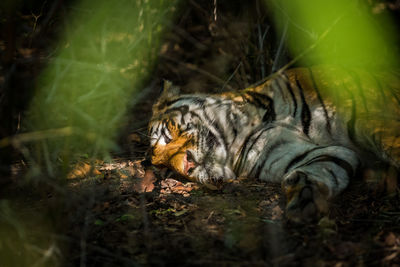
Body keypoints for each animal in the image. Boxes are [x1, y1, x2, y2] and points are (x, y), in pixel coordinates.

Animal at [148, 66, 400, 223]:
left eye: (166, 137)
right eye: (168, 170)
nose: (188, 166)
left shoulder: (368, 115)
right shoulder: (302, 151)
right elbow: (327, 165)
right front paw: (305, 197)